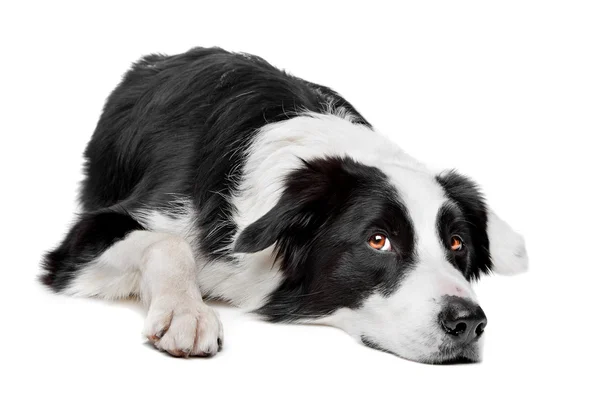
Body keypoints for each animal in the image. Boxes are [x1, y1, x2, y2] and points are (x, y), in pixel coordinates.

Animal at [39, 47, 524, 362]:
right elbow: (168, 244)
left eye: (457, 244)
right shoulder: (82, 241)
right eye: (378, 240)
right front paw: (187, 312)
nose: (468, 322)